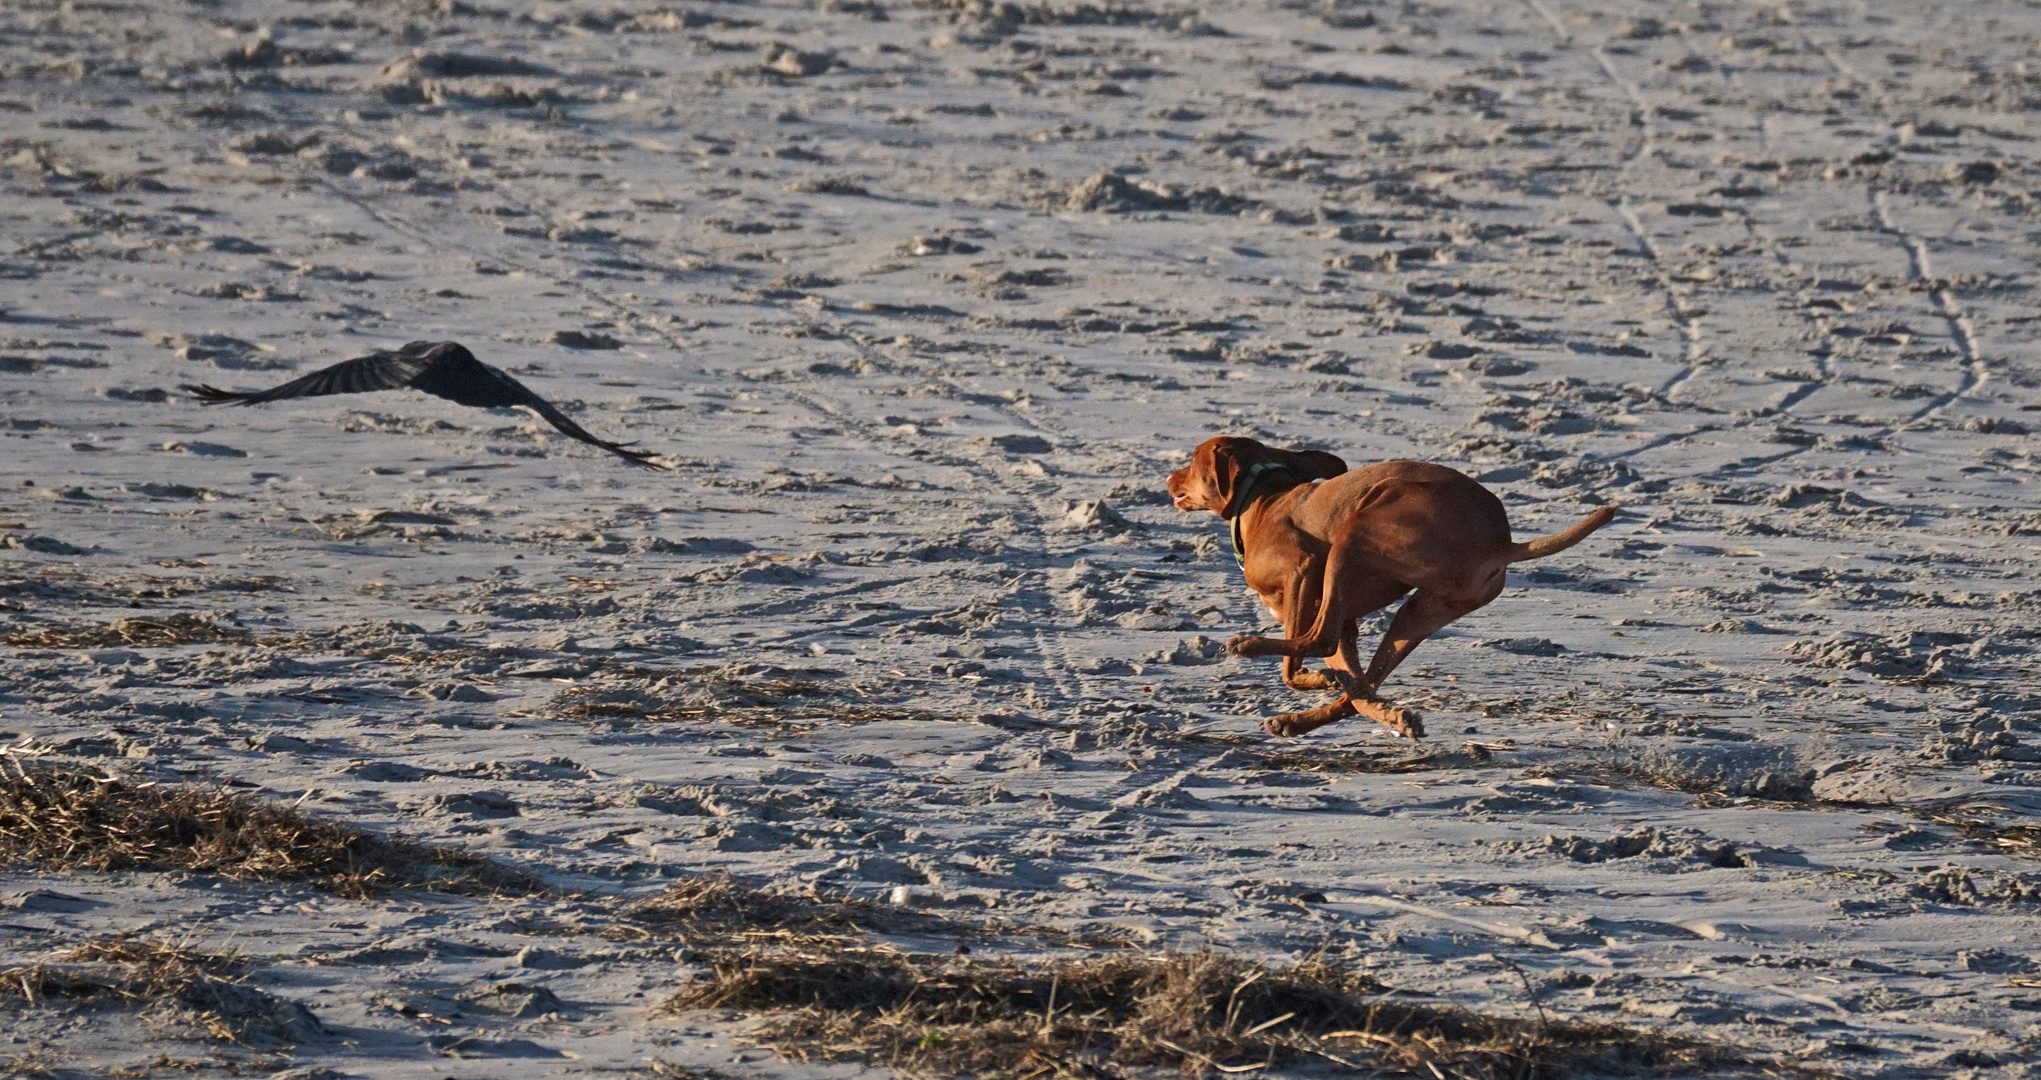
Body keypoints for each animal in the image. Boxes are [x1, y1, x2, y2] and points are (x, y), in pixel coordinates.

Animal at [1175, 432, 1616, 734]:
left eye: (1192, 461)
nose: (1168, 479)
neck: (1261, 499)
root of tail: (1499, 543)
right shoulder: (1340, 619)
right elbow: (1353, 682)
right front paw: (1375, 707)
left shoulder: (1305, 568)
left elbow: (1299, 664)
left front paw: (1314, 679)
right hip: (1419, 611)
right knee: (1363, 679)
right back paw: (1310, 720)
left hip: (1356, 534)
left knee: (1320, 641)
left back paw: (1248, 647)